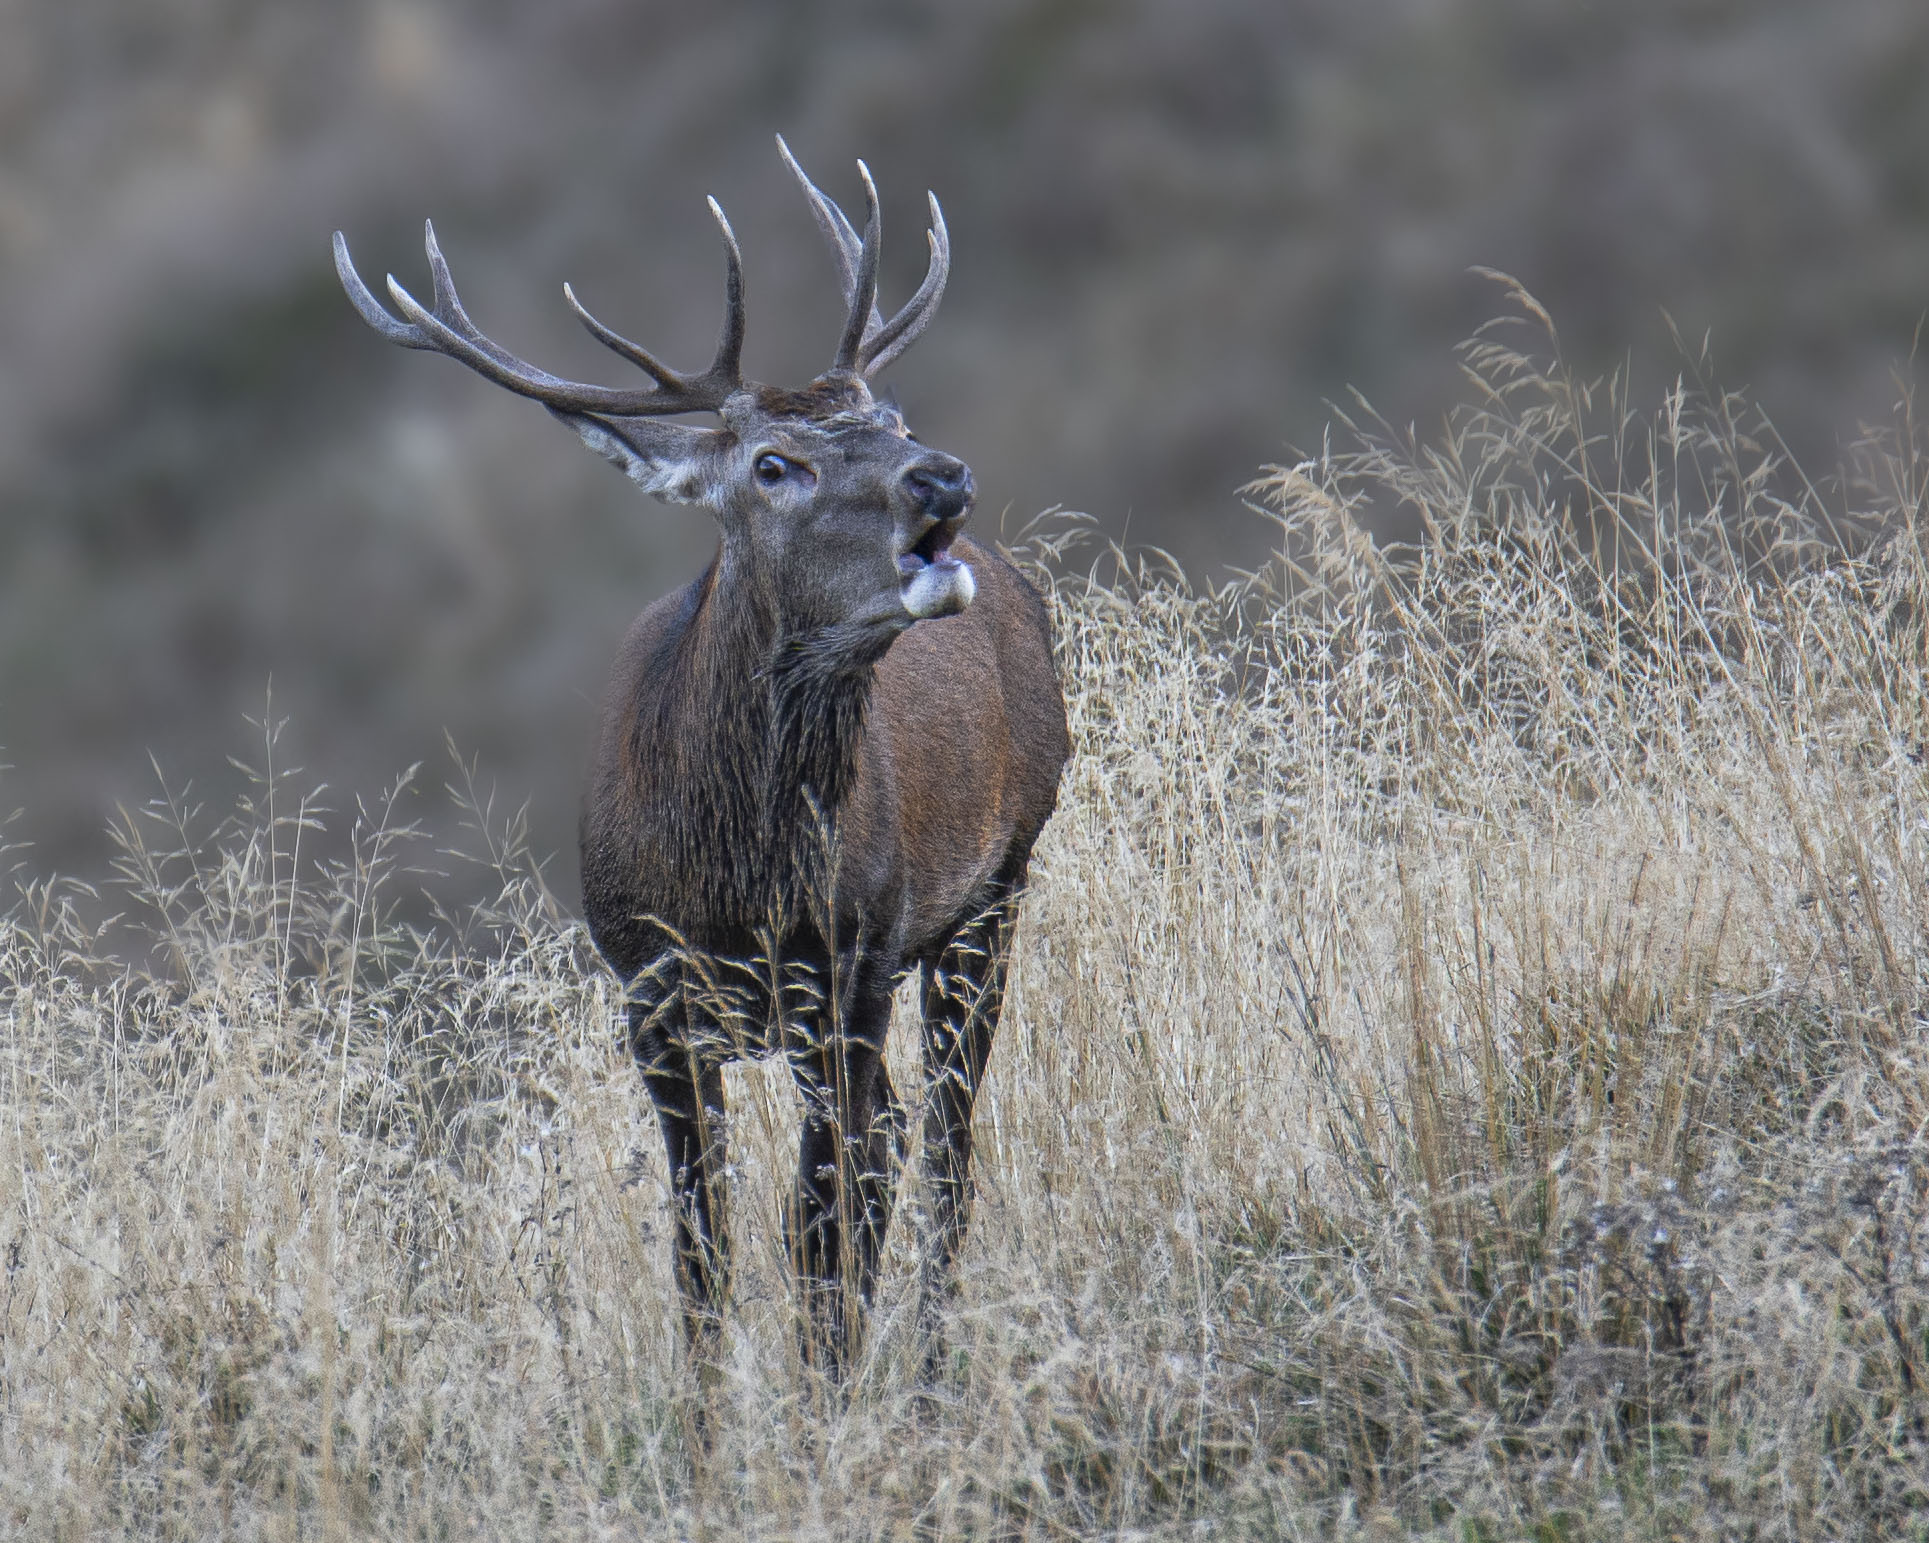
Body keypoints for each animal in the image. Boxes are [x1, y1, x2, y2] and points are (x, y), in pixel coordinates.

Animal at [333, 139, 1069, 1385]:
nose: (939, 476)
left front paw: (828, 1402)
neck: (736, 886)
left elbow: (821, 1223)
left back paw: (927, 1369)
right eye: (774, 463)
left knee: (942, 1150)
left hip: (993, 888)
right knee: (904, 1143)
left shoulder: (847, 964)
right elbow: (703, 1248)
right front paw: (710, 1424)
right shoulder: (651, 993)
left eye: (892, 411)